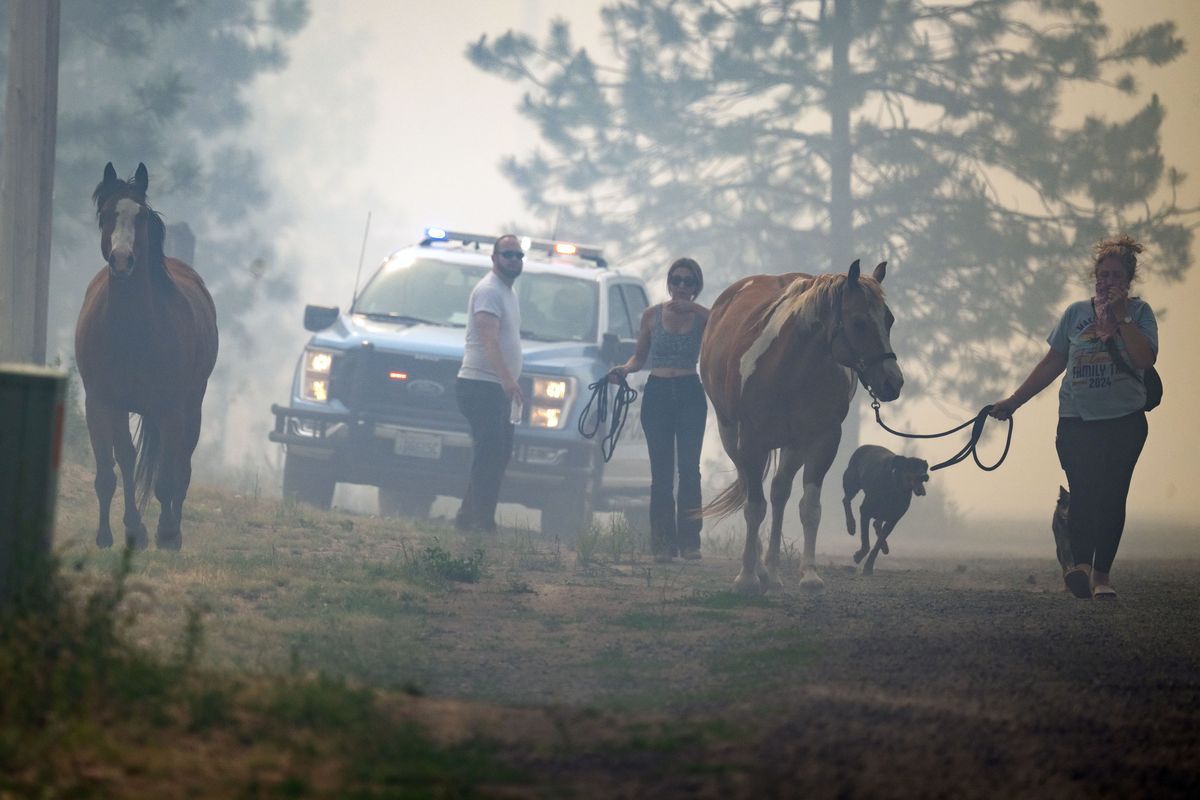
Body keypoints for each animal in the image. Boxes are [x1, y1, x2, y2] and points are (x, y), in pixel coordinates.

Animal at [75, 163, 219, 551]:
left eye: (139, 216)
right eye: (106, 213)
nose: (122, 260)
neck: (133, 330)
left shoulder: (171, 408)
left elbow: (167, 477)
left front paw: (166, 533)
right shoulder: (101, 402)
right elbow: (109, 472)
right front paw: (111, 535)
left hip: (191, 406)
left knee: (181, 464)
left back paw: (173, 530)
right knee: (130, 461)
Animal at [700, 260, 902, 592]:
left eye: (889, 320)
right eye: (859, 322)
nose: (892, 382)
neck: (789, 368)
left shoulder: (823, 441)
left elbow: (809, 508)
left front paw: (809, 575)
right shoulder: (751, 442)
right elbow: (754, 507)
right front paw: (746, 577)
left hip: (793, 446)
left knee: (779, 493)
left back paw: (772, 571)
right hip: (731, 436)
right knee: (750, 491)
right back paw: (758, 568)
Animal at [840, 443, 931, 575]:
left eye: (923, 468)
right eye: (911, 466)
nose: (925, 476)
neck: (895, 488)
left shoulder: (893, 520)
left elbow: (877, 544)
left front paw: (869, 566)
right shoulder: (865, 511)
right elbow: (866, 542)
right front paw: (858, 556)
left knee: (877, 524)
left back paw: (885, 546)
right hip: (852, 482)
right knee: (846, 500)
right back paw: (851, 525)